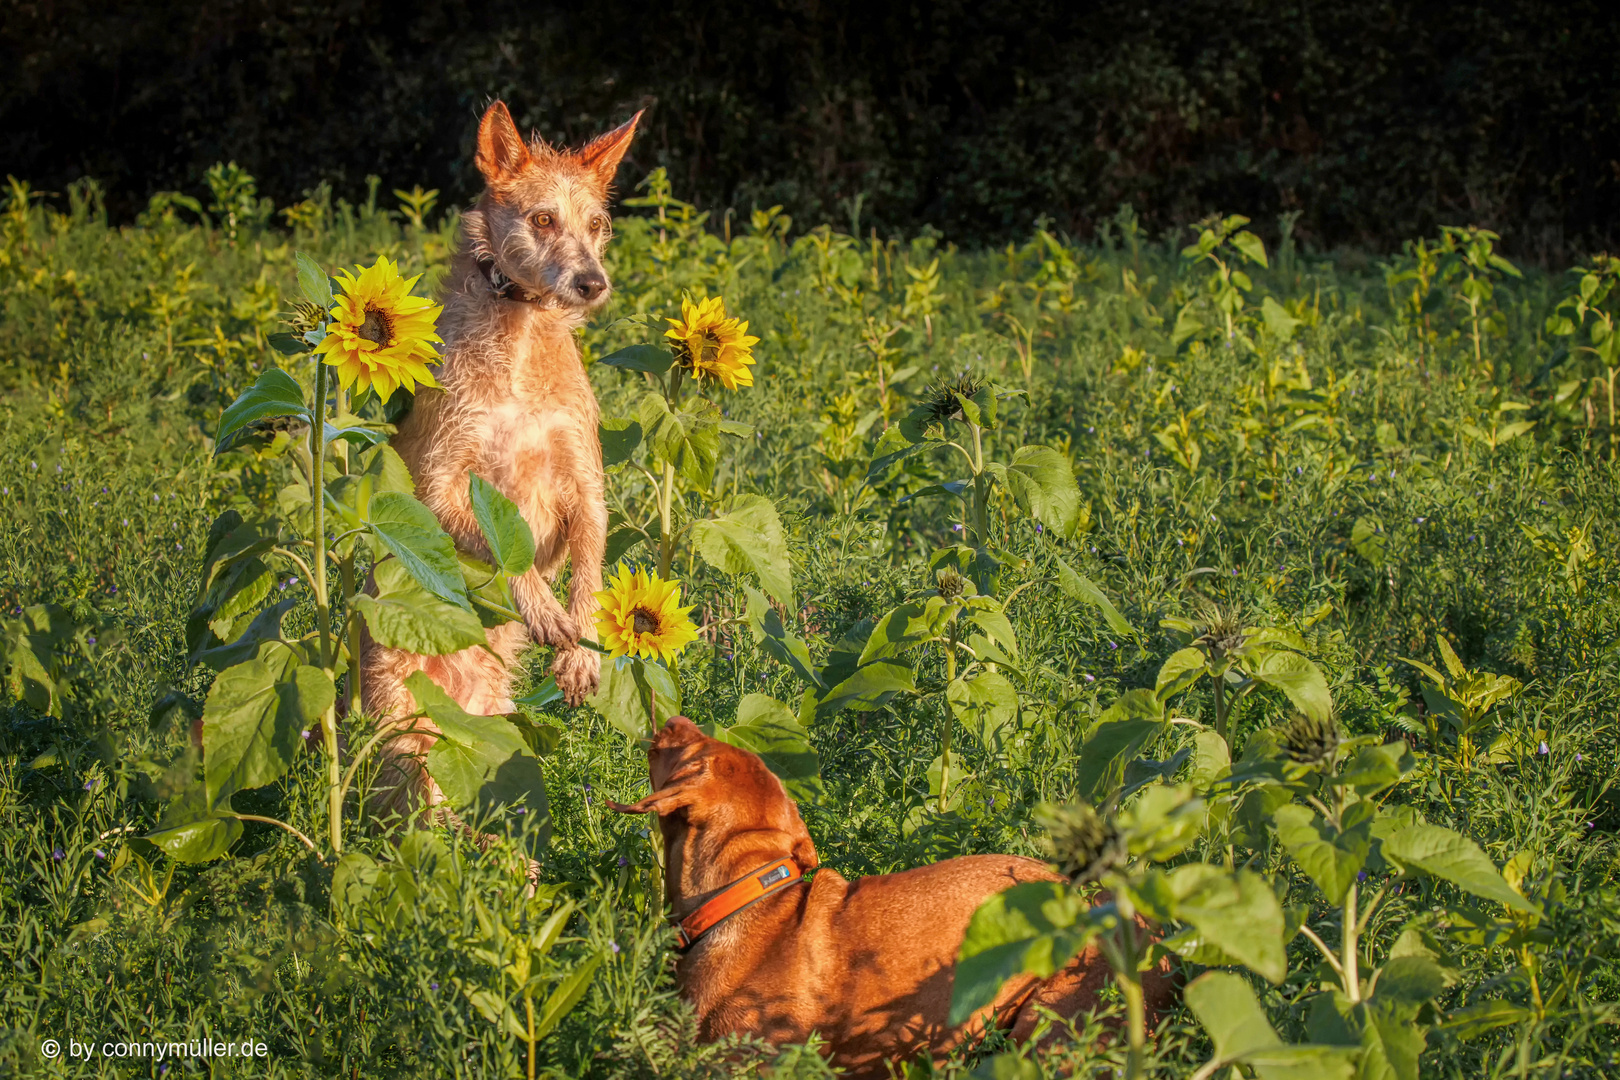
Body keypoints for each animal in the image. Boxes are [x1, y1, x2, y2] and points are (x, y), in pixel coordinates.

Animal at [364, 101, 641, 816]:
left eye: (596, 225)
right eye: (542, 219)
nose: (593, 283)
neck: (523, 339)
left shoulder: (585, 482)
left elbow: (590, 562)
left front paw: (579, 648)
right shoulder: (439, 486)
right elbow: (498, 545)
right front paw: (541, 607)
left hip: (500, 736)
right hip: (399, 735)